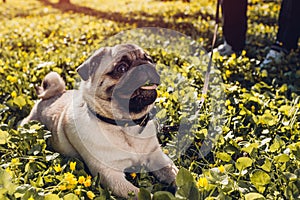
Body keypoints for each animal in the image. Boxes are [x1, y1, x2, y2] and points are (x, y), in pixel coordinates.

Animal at [22, 44, 179, 198]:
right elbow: (139, 194)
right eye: (121, 68)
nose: (145, 65)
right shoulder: (111, 176)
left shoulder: (158, 158)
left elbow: (174, 174)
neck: (125, 126)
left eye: (150, 60)